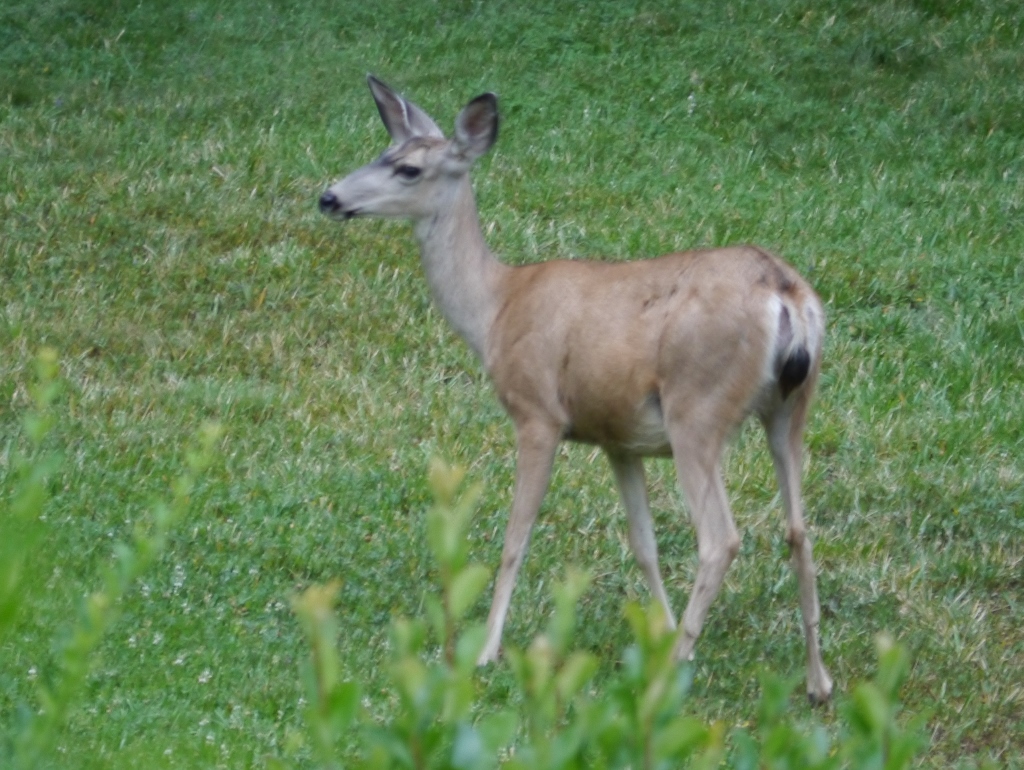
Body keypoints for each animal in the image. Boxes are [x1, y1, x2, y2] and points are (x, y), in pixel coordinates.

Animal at [319, 75, 831, 700]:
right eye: (383, 151)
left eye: (409, 169)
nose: (329, 197)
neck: (494, 309)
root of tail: (787, 294)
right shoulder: (618, 438)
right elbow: (643, 544)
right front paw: (658, 631)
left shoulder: (537, 413)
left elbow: (515, 540)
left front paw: (487, 650)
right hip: (790, 406)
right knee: (799, 530)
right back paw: (817, 680)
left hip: (698, 407)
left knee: (721, 540)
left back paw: (672, 678)